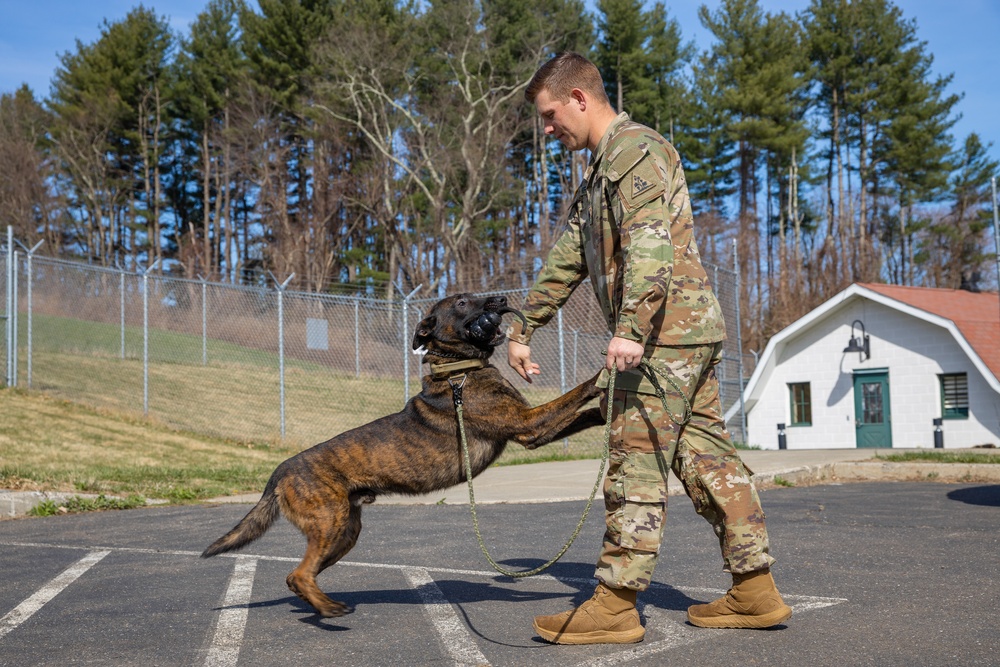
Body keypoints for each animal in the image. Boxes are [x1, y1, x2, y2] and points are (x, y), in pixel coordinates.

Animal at [203, 294, 600, 620]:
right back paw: (329, 609)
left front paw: (607, 408)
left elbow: (585, 414)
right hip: (330, 523)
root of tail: (280, 471)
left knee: (295, 576)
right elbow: (578, 392)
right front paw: (606, 372)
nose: (501, 299)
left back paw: (319, 604)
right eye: (461, 302)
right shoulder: (528, 425)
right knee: (299, 574)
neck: (456, 371)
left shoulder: (536, 432)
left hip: (345, 533)